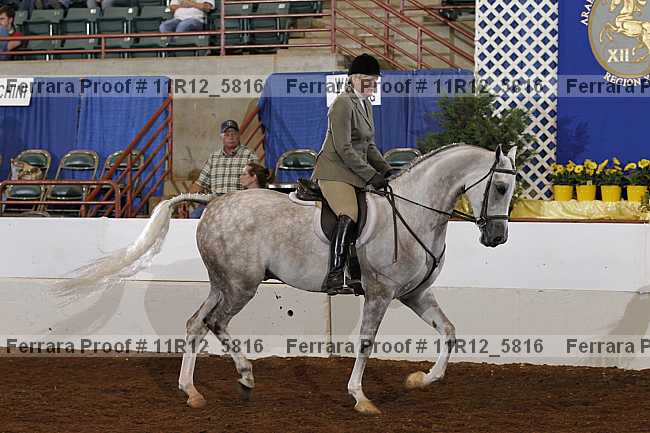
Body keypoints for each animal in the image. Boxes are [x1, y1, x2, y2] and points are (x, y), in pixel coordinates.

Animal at [57, 143, 518, 415]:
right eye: (498, 187)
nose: (496, 237)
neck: (414, 211)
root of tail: (215, 201)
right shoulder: (381, 293)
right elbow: (366, 343)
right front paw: (361, 397)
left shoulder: (415, 294)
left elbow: (450, 332)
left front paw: (421, 379)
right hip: (241, 285)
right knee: (214, 322)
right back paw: (240, 377)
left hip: (224, 283)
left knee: (197, 324)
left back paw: (196, 390)